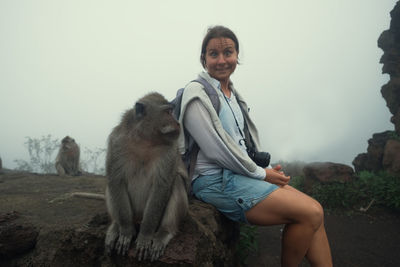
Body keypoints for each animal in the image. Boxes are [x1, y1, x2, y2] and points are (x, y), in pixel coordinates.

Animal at [104, 92, 189, 262]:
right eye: (168, 112)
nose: (177, 123)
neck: (145, 141)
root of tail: (137, 218)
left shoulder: (169, 151)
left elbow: (161, 187)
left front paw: (145, 236)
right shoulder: (117, 142)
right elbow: (116, 180)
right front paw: (125, 231)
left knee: (176, 181)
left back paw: (164, 232)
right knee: (111, 185)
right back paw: (116, 225)